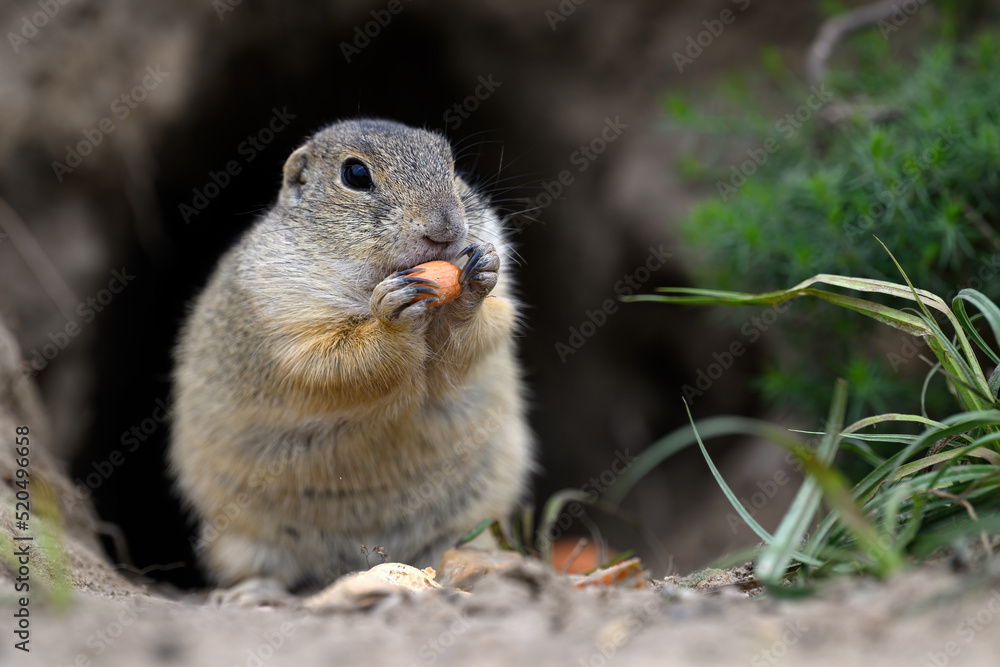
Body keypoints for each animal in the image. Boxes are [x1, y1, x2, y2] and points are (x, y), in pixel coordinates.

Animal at [169, 118, 533, 593]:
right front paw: (393, 313)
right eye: (356, 175)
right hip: (239, 540)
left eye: (452, 166)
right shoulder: (287, 325)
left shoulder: (499, 309)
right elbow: (337, 360)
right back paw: (252, 593)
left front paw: (477, 274)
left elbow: (482, 331)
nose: (447, 229)